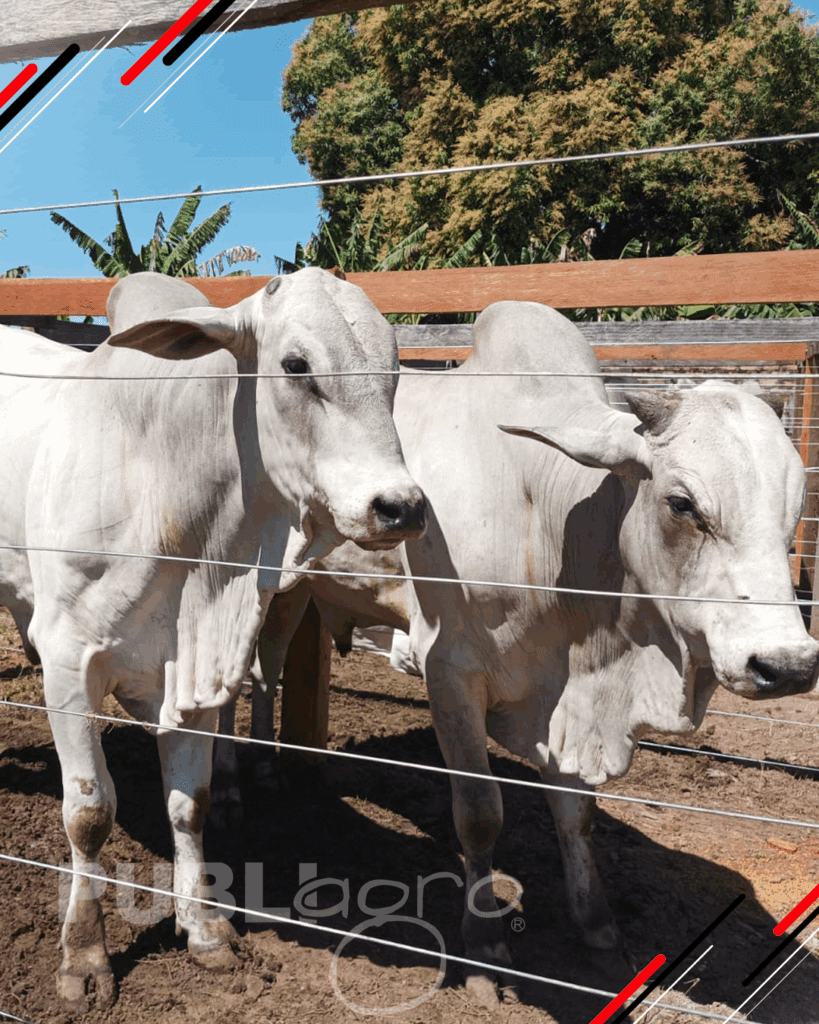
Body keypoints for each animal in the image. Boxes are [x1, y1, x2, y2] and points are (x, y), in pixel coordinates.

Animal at [0, 268, 426, 1011]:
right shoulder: (68, 664)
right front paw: (84, 956)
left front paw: (202, 928)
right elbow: (88, 812)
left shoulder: (194, 673)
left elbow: (189, 803)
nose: (400, 507)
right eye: (296, 365)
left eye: (393, 372)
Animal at [215, 299, 819, 1007]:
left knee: (268, 666)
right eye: (682, 503)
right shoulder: (450, 673)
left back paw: (266, 765)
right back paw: (227, 786)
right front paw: (485, 948)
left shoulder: (567, 701)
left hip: (298, 588)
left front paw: (597, 928)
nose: (786, 665)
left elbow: (577, 814)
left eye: (795, 507)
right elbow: (480, 815)